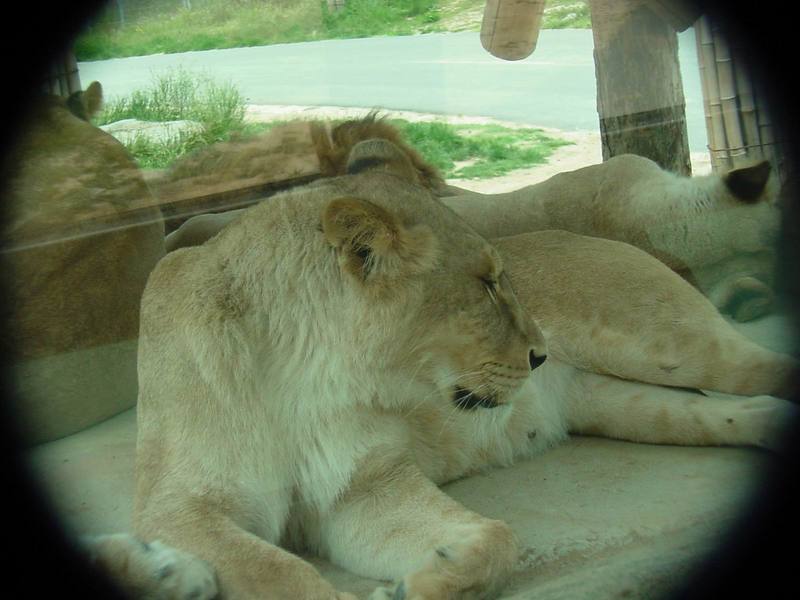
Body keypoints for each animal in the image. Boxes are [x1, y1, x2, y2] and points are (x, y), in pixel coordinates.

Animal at [92, 137, 792, 600]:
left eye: (502, 276)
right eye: (485, 284)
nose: (540, 352)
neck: (311, 378)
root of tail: (604, 235)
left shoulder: (365, 483)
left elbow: (494, 541)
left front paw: (408, 588)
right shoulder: (183, 510)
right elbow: (282, 573)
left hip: (673, 346)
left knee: (767, 370)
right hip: (623, 402)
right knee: (744, 411)